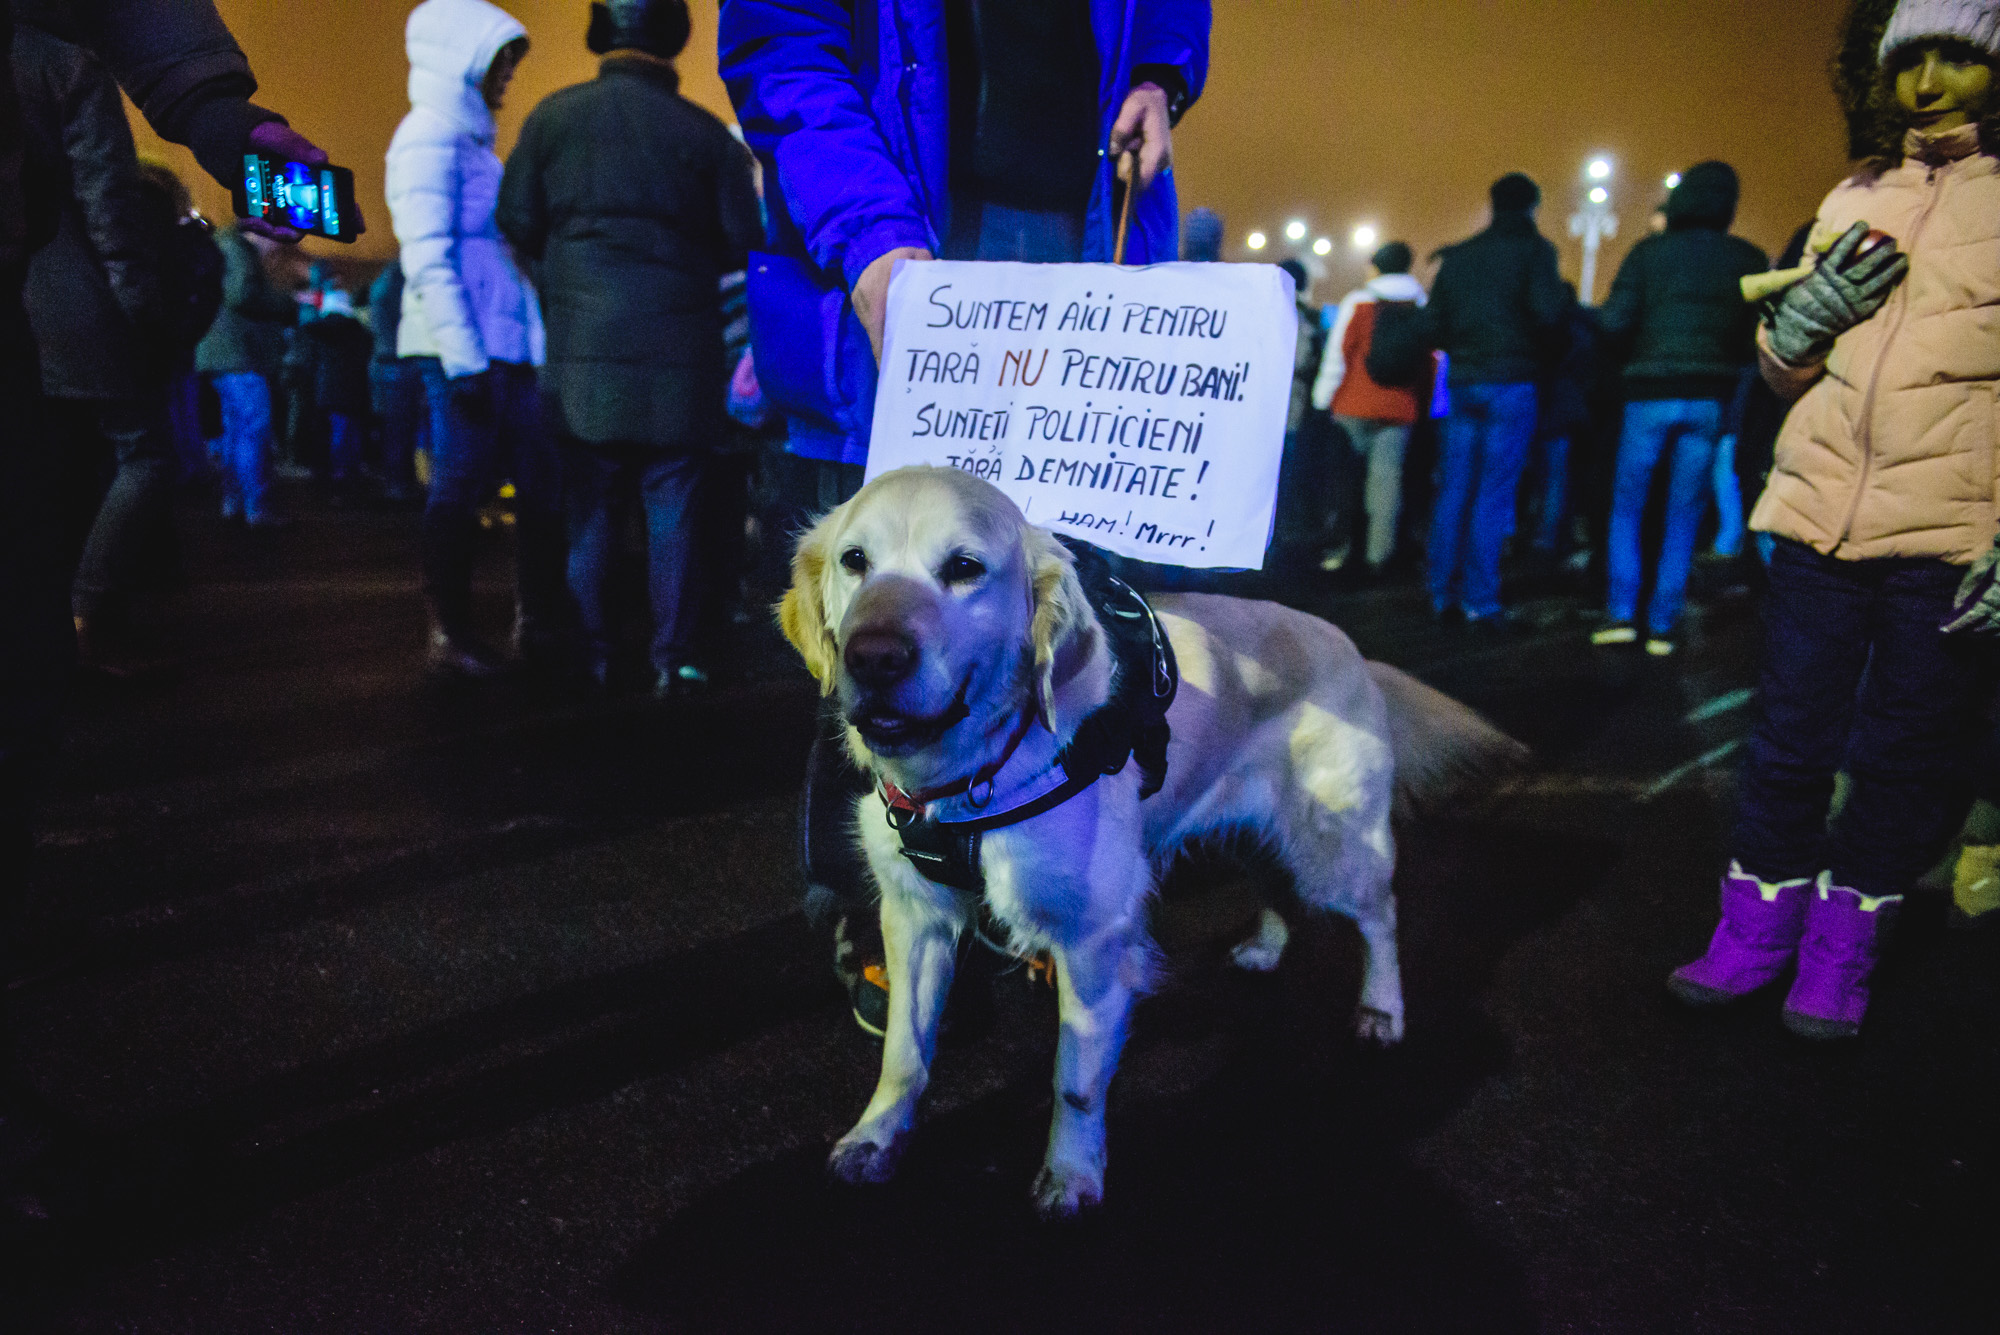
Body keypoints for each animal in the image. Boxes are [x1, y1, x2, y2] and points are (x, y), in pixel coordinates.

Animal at [784, 463, 1528, 1215]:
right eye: (855, 561)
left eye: (964, 567)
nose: (874, 658)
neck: (974, 773)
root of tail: (1354, 649)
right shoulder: (915, 917)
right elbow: (904, 1053)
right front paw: (877, 1137)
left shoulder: (1094, 941)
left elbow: (1074, 1082)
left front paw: (1071, 1174)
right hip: (1249, 825)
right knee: (1275, 884)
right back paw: (1266, 947)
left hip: (1333, 847)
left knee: (1381, 913)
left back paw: (1381, 1009)